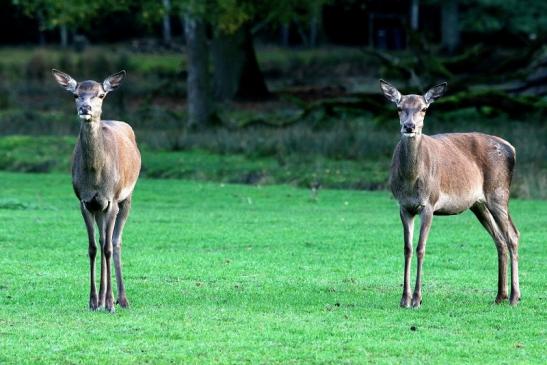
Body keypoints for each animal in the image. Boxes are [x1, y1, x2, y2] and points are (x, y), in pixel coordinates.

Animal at [53, 69, 141, 312]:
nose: (85, 108)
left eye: (101, 95)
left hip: (126, 197)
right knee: (102, 241)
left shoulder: (111, 199)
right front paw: (93, 301)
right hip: (98, 207)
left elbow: (109, 248)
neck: (95, 177)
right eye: (75, 94)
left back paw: (122, 299)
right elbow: (93, 247)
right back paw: (102, 298)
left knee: (115, 242)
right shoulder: (85, 202)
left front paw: (110, 303)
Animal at [382, 79, 524, 308]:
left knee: (513, 235)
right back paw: (500, 296)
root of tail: (512, 148)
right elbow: (407, 248)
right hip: (478, 204)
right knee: (500, 239)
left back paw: (514, 297)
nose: (409, 126)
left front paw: (417, 299)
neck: (411, 180)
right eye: (399, 108)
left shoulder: (429, 204)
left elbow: (421, 248)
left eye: (424, 108)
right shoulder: (403, 206)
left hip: (499, 192)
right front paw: (404, 299)